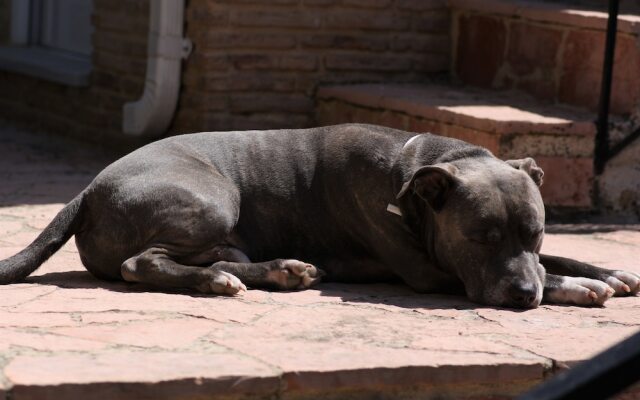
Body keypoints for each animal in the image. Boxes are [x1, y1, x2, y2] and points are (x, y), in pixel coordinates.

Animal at [1, 125, 640, 310]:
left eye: (535, 231)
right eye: (480, 237)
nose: (524, 295)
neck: (421, 167)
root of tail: (88, 188)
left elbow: (563, 256)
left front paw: (606, 271)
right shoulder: (430, 271)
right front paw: (575, 286)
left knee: (221, 257)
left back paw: (278, 270)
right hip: (211, 198)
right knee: (142, 263)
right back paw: (220, 280)